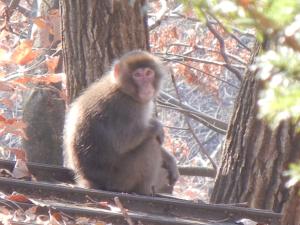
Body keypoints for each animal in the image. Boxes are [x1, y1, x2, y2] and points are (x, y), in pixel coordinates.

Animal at [63, 50, 178, 194]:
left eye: (148, 73)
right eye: (137, 75)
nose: (146, 86)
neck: (122, 89)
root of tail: (91, 181)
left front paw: (170, 160)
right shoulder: (127, 108)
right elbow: (123, 142)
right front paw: (156, 127)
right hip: (121, 179)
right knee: (150, 144)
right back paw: (143, 190)